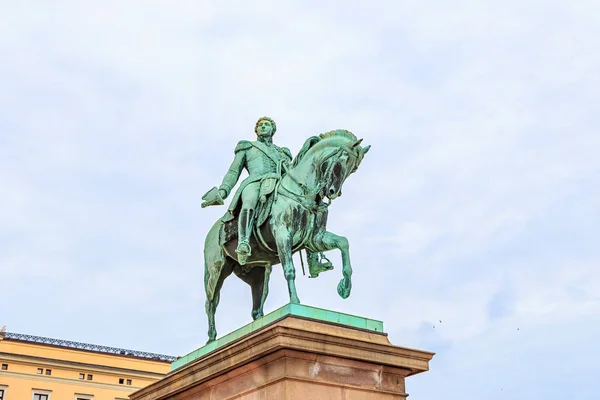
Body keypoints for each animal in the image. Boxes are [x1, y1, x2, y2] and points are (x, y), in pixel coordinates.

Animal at [204, 130, 368, 342]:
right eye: (344, 159)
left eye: (354, 169)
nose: (333, 192)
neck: (300, 192)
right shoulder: (283, 236)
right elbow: (289, 270)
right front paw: (295, 302)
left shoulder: (317, 239)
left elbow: (344, 243)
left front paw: (345, 287)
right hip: (217, 269)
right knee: (211, 302)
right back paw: (211, 338)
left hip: (258, 274)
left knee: (257, 305)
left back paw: (258, 324)